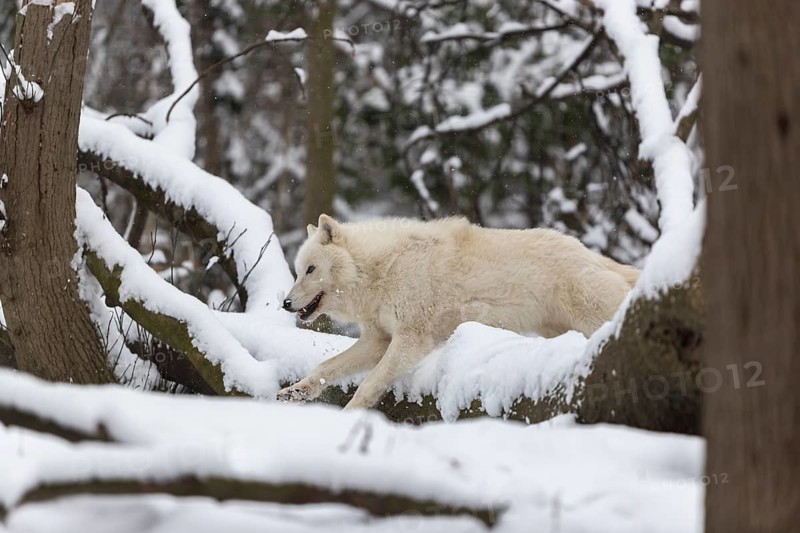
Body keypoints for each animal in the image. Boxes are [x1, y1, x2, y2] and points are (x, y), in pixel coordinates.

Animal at [278, 214, 639, 410]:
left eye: (310, 270)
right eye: (297, 271)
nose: (285, 303)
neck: (382, 269)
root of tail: (593, 255)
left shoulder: (412, 340)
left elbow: (369, 383)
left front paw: (349, 415)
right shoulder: (378, 340)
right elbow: (326, 366)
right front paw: (298, 390)